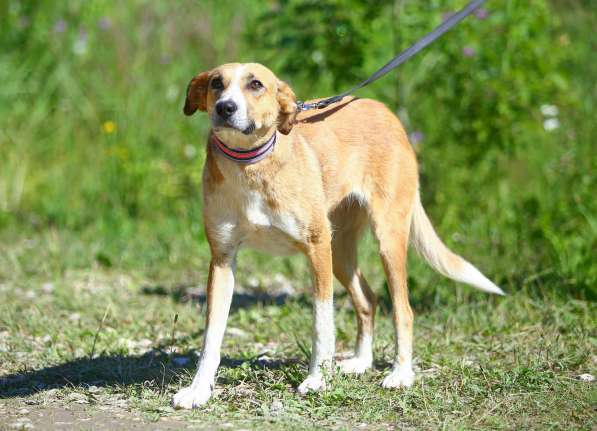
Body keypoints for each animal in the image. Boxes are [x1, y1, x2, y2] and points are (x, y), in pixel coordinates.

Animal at [172, 62, 502, 410]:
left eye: (256, 84)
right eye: (216, 84)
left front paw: (317, 379)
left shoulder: (316, 249)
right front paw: (199, 389)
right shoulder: (222, 259)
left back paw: (400, 373)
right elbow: (212, 335)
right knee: (367, 299)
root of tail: (383, 109)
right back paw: (361, 362)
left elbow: (322, 324)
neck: (250, 165)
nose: (225, 108)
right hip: (340, 251)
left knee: (403, 310)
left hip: (386, 241)